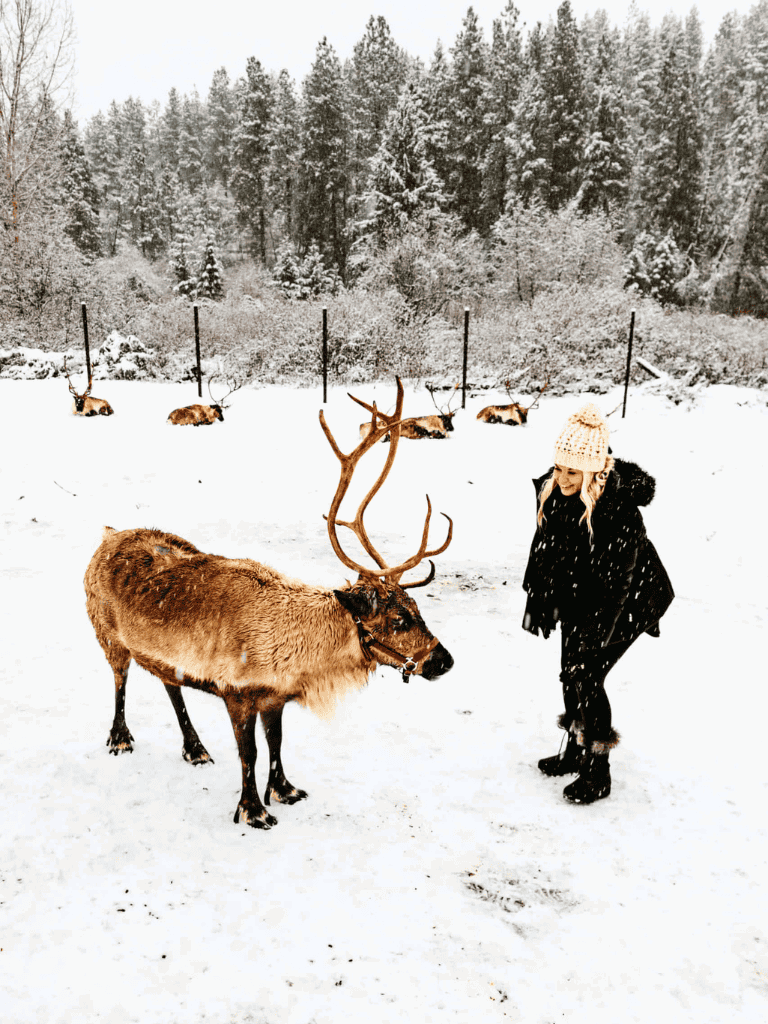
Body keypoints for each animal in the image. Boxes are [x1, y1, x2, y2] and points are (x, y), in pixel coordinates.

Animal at [83, 378, 454, 831]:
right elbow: (251, 753)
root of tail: (108, 534)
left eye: (419, 610)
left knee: (170, 683)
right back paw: (120, 739)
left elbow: (276, 743)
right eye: (399, 618)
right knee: (120, 680)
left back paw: (195, 748)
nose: (445, 660)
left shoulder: (275, 697)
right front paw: (253, 809)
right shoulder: (237, 693)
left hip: (161, 653)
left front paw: (284, 789)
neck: (295, 651)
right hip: (107, 635)